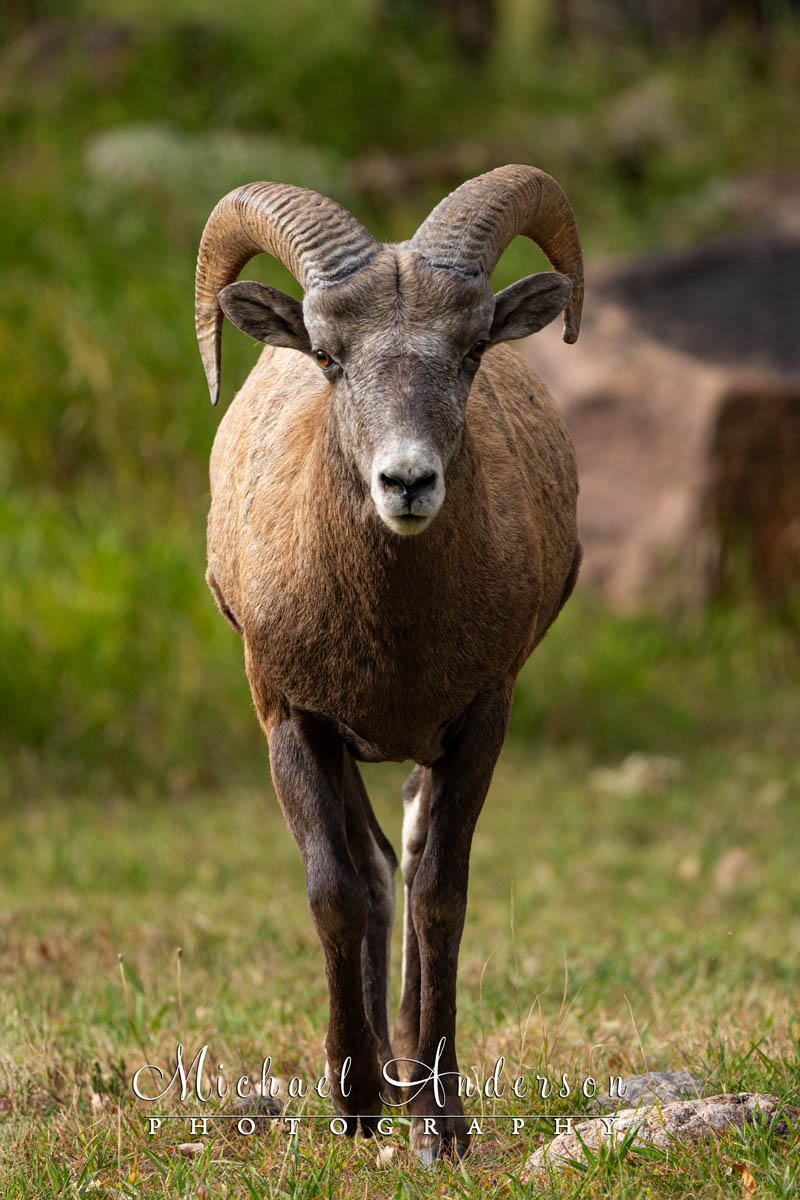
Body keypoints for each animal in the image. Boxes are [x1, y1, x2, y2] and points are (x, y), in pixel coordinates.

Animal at [195, 165, 584, 1161]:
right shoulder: (292, 719)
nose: (406, 483)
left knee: (403, 855)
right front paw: (352, 1110)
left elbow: (441, 893)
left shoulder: (481, 718)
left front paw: (441, 1127)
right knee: (372, 870)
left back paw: (409, 1077)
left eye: (474, 349)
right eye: (329, 357)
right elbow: (336, 892)